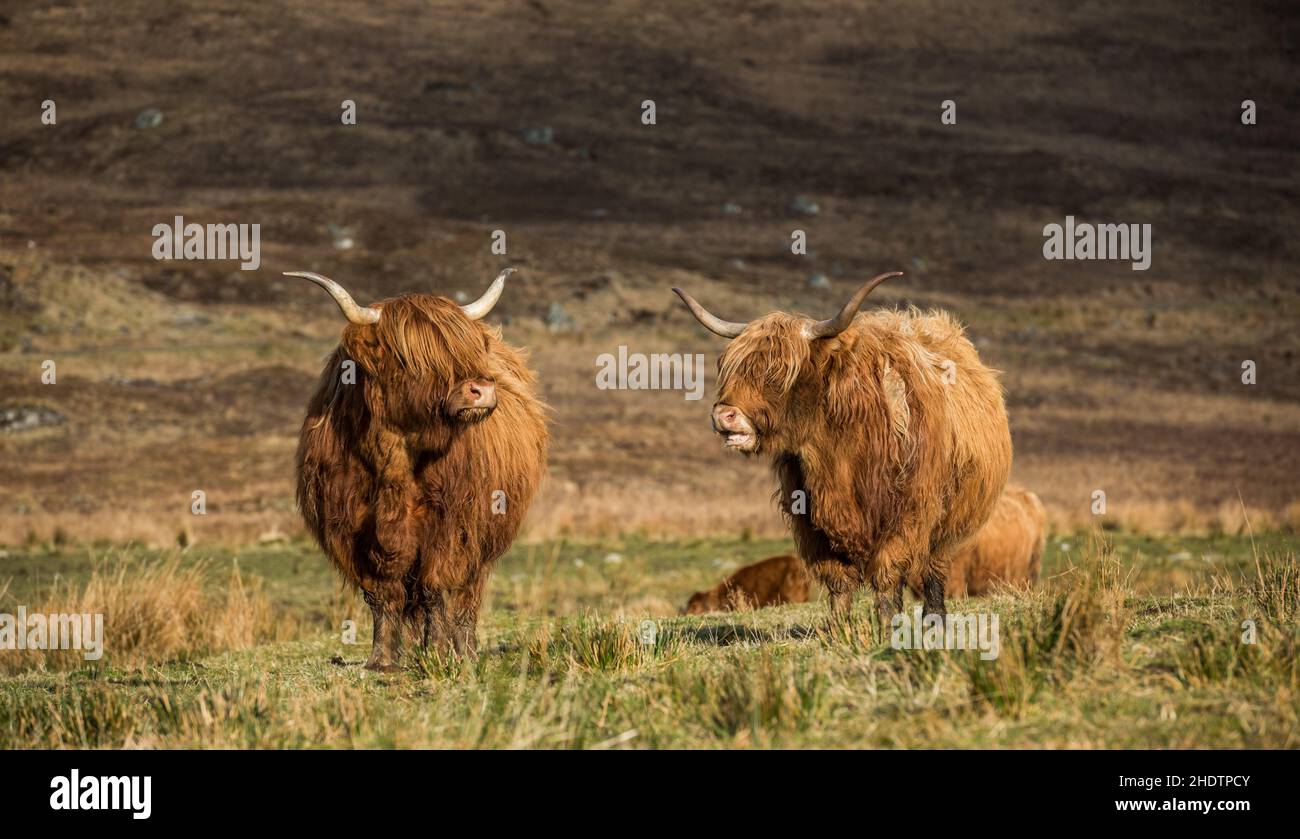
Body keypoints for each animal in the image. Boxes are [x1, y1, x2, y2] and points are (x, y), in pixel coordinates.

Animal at [288, 267, 543, 665]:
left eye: (467, 348)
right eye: (411, 358)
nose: (481, 390)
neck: (396, 457)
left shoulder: (451, 525)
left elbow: (435, 588)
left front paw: (439, 653)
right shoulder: (352, 528)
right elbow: (382, 594)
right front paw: (382, 660)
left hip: (484, 539)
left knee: (466, 597)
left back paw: (465, 652)